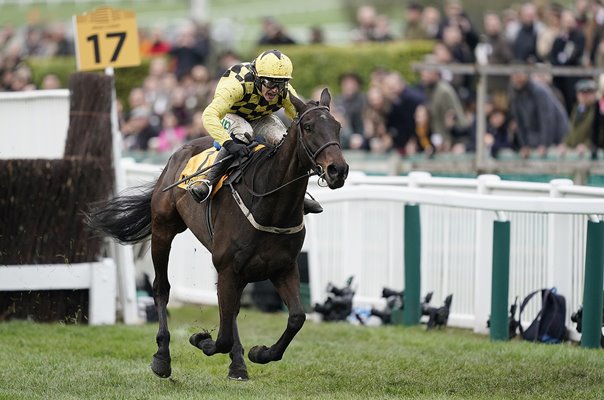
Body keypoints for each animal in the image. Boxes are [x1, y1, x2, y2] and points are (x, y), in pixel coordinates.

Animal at [86, 89, 350, 380]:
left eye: (338, 127)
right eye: (308, 127)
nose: (338, 170)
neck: (270, 204)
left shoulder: (282, 267)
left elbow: (296, 318)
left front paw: (260, 353)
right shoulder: (227, 268)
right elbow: (221, 337)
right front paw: (200, 339)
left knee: (232, 311)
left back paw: (238, 364)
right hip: (164, 230)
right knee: (161, 289)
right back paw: (162, 357)